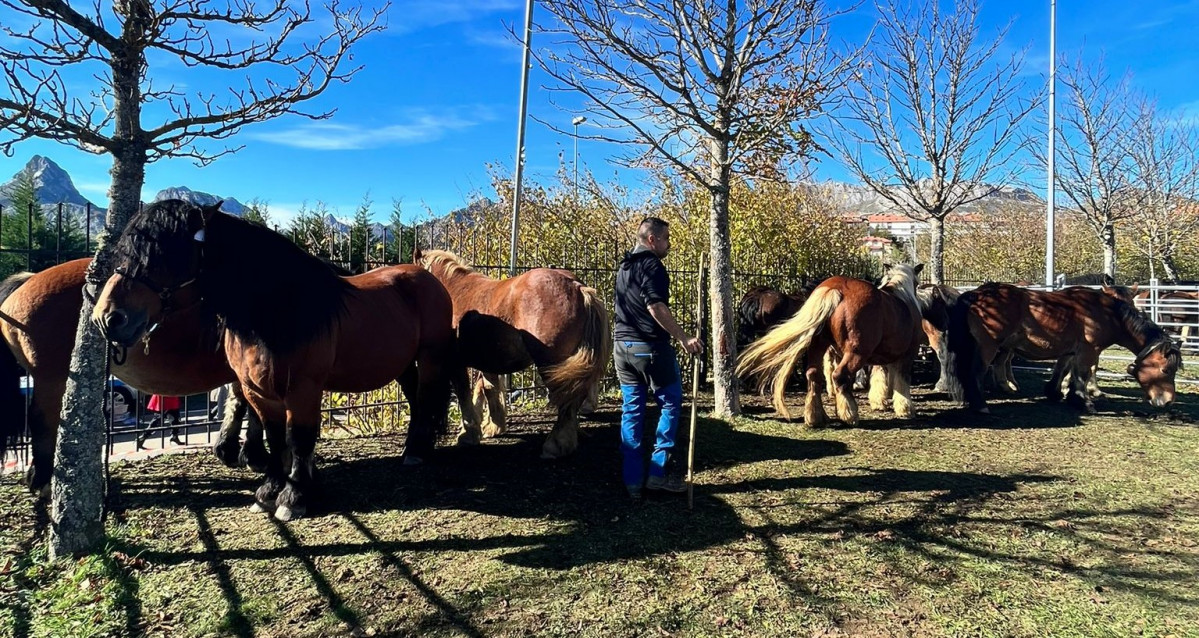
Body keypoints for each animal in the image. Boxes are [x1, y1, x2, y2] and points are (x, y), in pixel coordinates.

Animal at [0, 256, 264, 496]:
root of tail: (28, 280)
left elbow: (240, 404)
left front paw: (232, 450)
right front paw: (253, 456)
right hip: (52, 379)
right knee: (42, 421)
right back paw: (43, 480)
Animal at [93, 201, 455, 520]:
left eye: (165, 254)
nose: (109, 317)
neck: (278, 311)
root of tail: (427, 277)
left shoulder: (303, 390)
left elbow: (299, 439)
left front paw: (294, 498)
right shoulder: (258, 392)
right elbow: (275, 436)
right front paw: (268, 491)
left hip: (432, 357)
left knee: (426, 399)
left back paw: (415, 452)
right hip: (403, 364)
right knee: (416, 401)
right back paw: (413, 449)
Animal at [414, 249, 618, 458]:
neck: (455, 293)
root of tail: (578, 288)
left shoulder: (456, 362)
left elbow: (465, 394)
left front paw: (468, 434)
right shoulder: (487, 362)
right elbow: (487, 389)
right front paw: (492, 426)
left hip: (552, 365)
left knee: (568, 399)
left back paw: (555, 444)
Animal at [733, 261, 920, 426]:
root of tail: (835, 289)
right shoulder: (906, 356)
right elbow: (901, 381)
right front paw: (904, 408)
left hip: (818, 346)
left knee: (814, 375)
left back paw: (816, 417)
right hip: (856, 352)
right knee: (839, 375)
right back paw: (849, 415)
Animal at [949, 283, 1184, 412]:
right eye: (1165, 370)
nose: (1168, 401)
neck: (1109, 314)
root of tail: (977, 294)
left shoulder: (1071, 349)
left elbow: (1063, 369)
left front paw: (1055, 392)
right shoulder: (1090, 350)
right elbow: (1083, 374)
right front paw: (1083, 401)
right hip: (988, 347)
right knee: (975, 373)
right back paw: (981, 405)